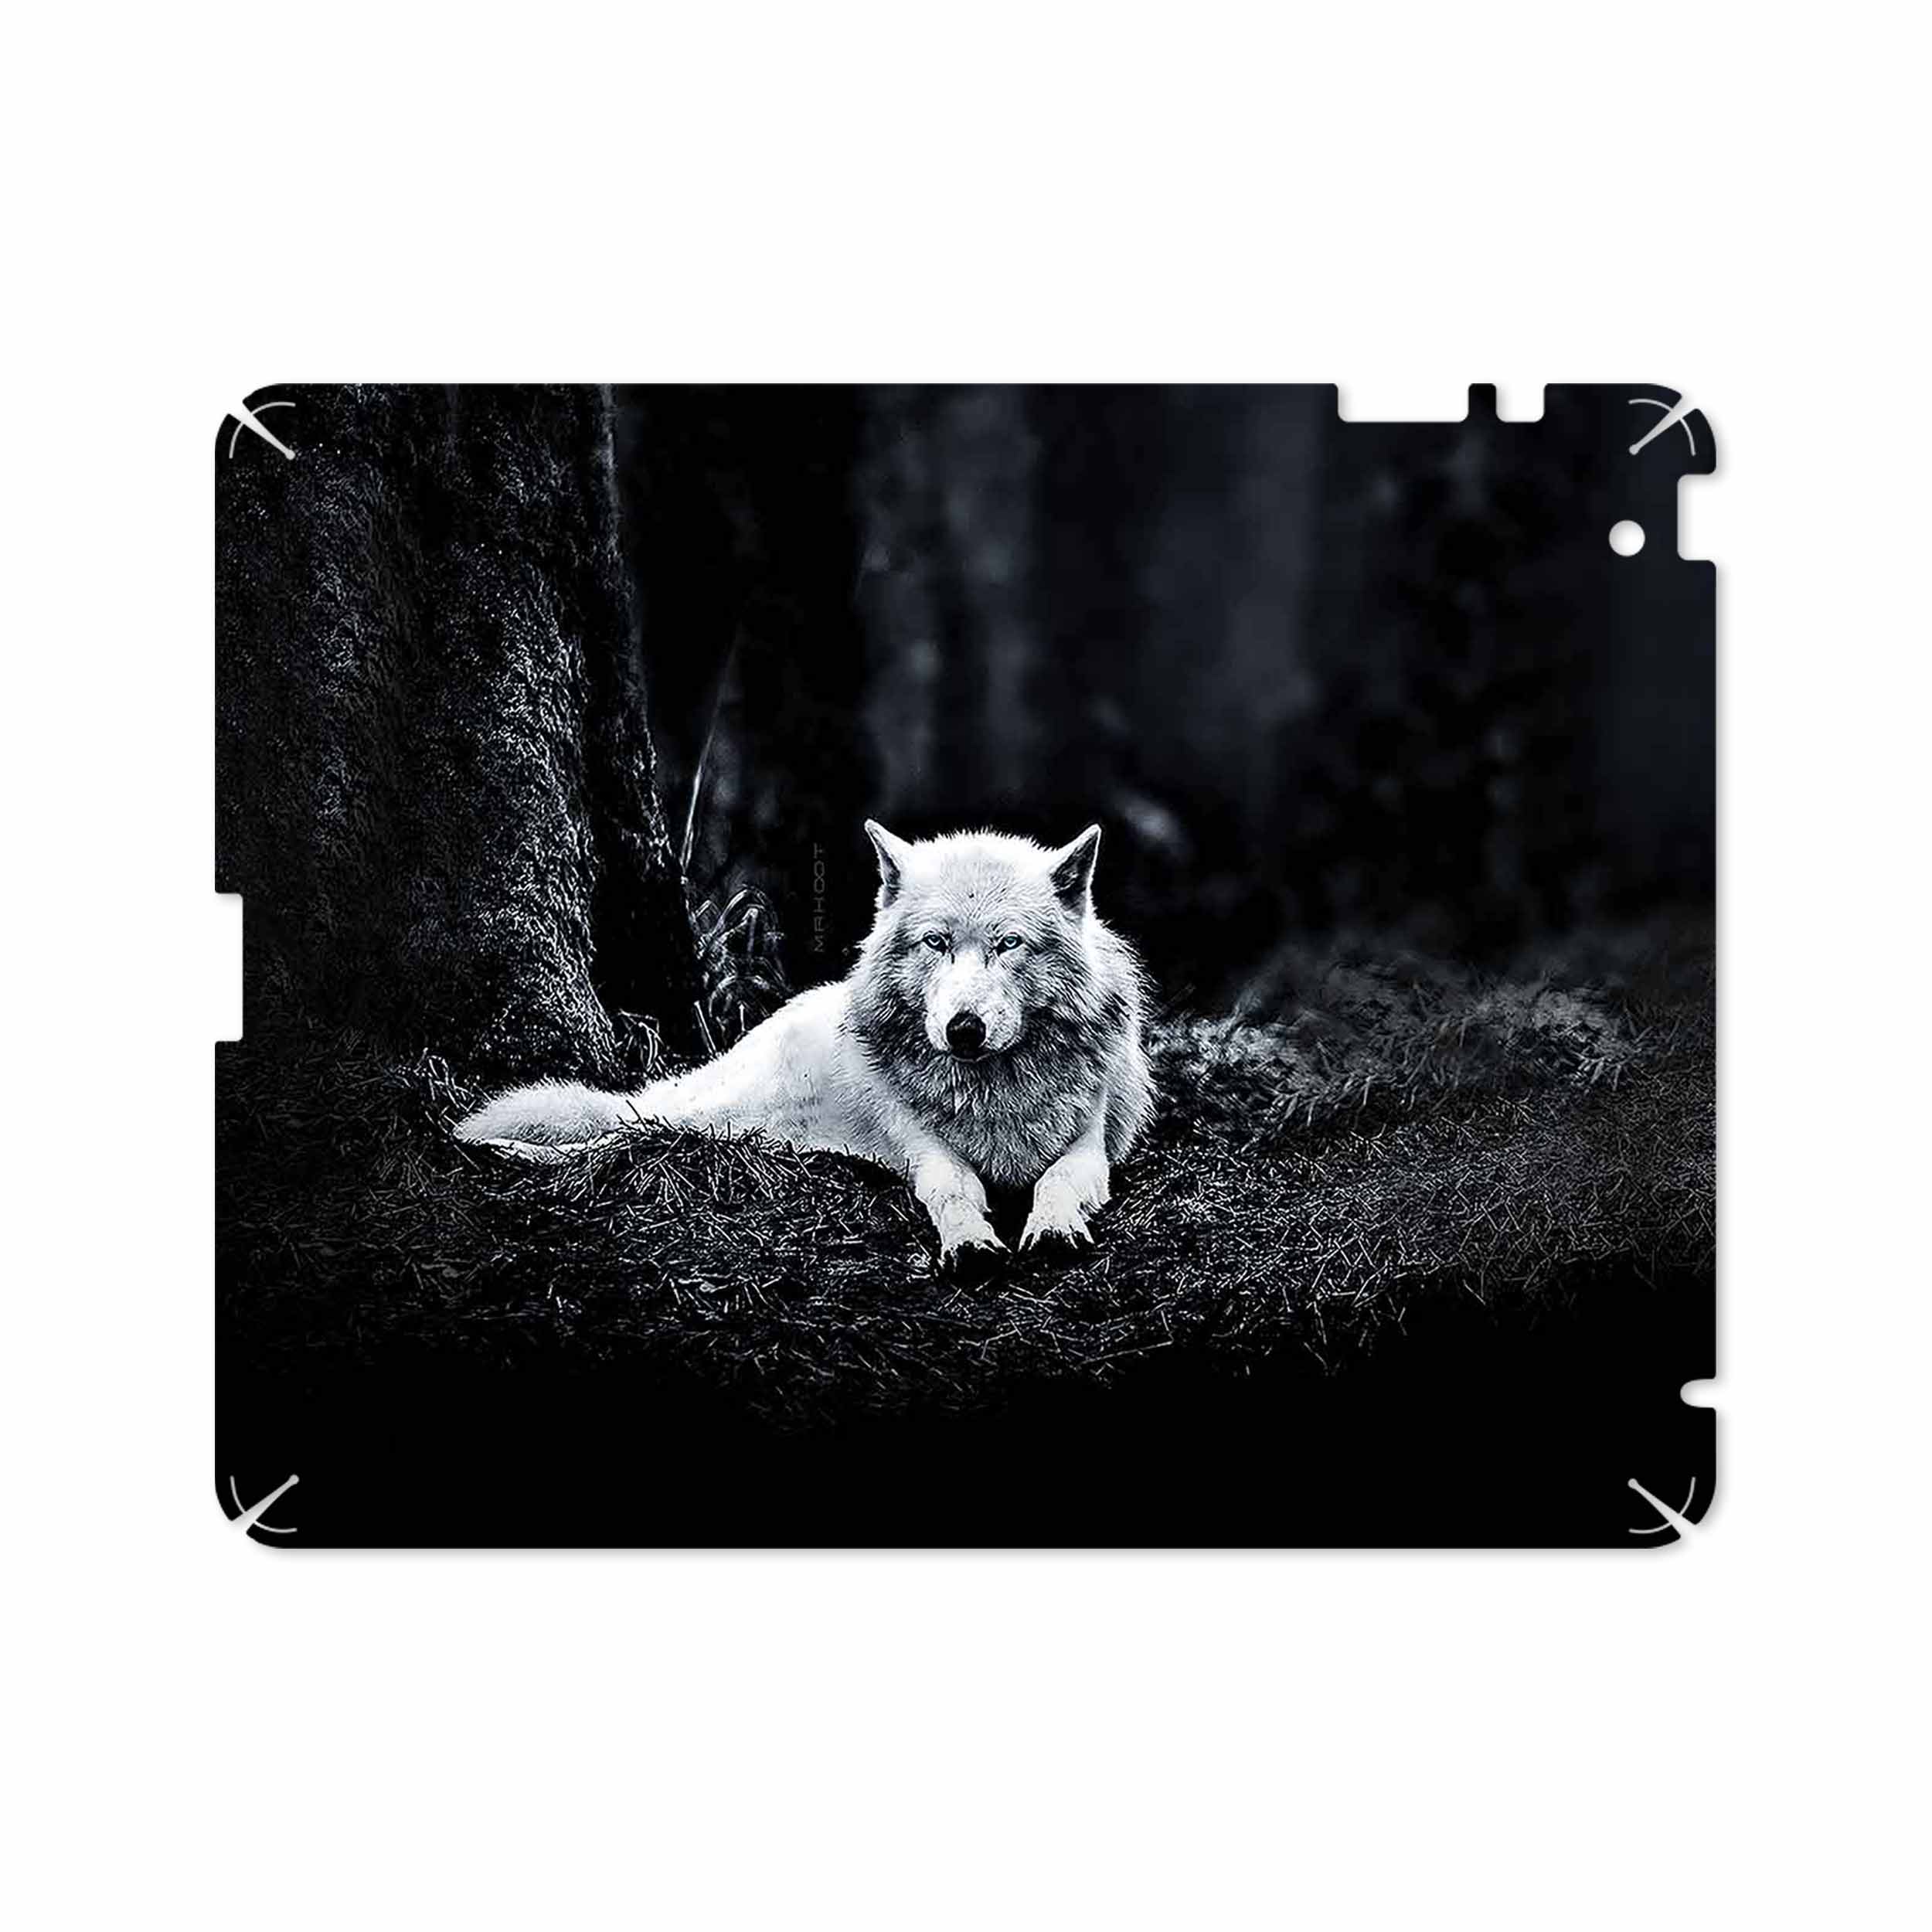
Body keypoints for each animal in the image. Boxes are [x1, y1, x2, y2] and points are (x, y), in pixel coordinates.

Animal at [455, 822, 1155, 1268]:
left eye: (1009, 944)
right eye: (936, 943)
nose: (964, 1029)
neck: (993, 1093)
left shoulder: (1090, 1150)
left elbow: (1056, 1182)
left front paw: (1054, 1228)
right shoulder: (927, 1154)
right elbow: (953, 1191)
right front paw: (969, 1244)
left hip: (751, 1134)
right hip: (715, 1115)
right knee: (622, 1132)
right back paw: (504, 1148)